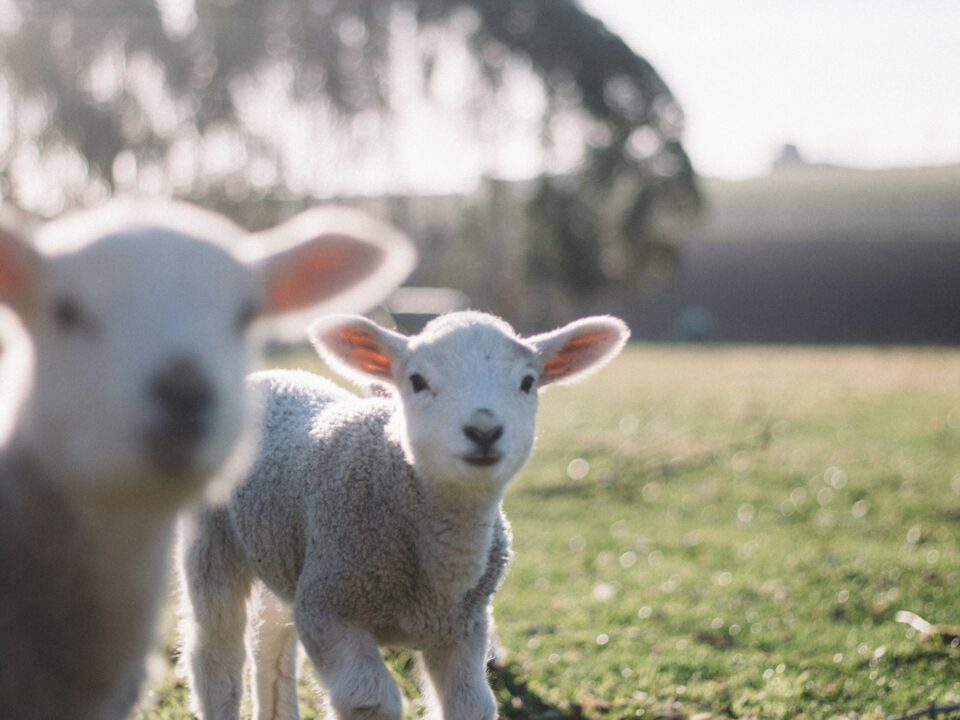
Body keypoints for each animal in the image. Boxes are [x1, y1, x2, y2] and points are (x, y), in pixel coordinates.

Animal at [180, 310, 632, 720]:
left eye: (527, 382)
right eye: (417, 381)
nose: (484, 431)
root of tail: (272, 375)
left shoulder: (464, 628)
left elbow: (471, 705)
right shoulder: (328, 608)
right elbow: (369, 698)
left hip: (283, 551)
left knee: (271, 642)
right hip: (212, 542)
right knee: (215, 652)